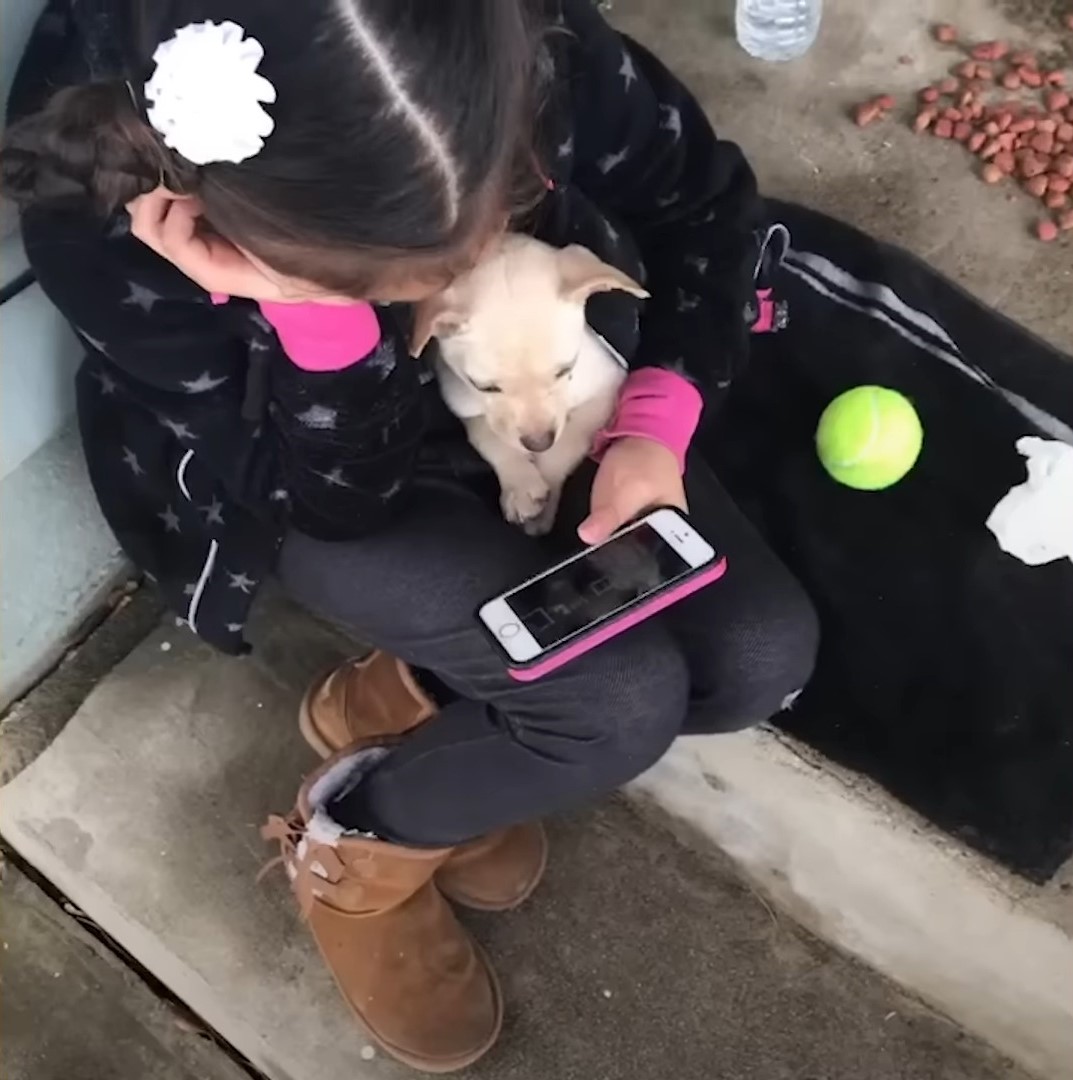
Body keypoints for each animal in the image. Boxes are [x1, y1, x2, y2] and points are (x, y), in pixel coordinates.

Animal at [410, 239, 643, 535]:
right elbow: (489, 439)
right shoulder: (465, 407)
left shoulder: (606, 388)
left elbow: (565, 445)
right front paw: (520, 486)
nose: (538, 443)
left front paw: (544, 501)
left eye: (566, 370)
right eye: (484, 387)